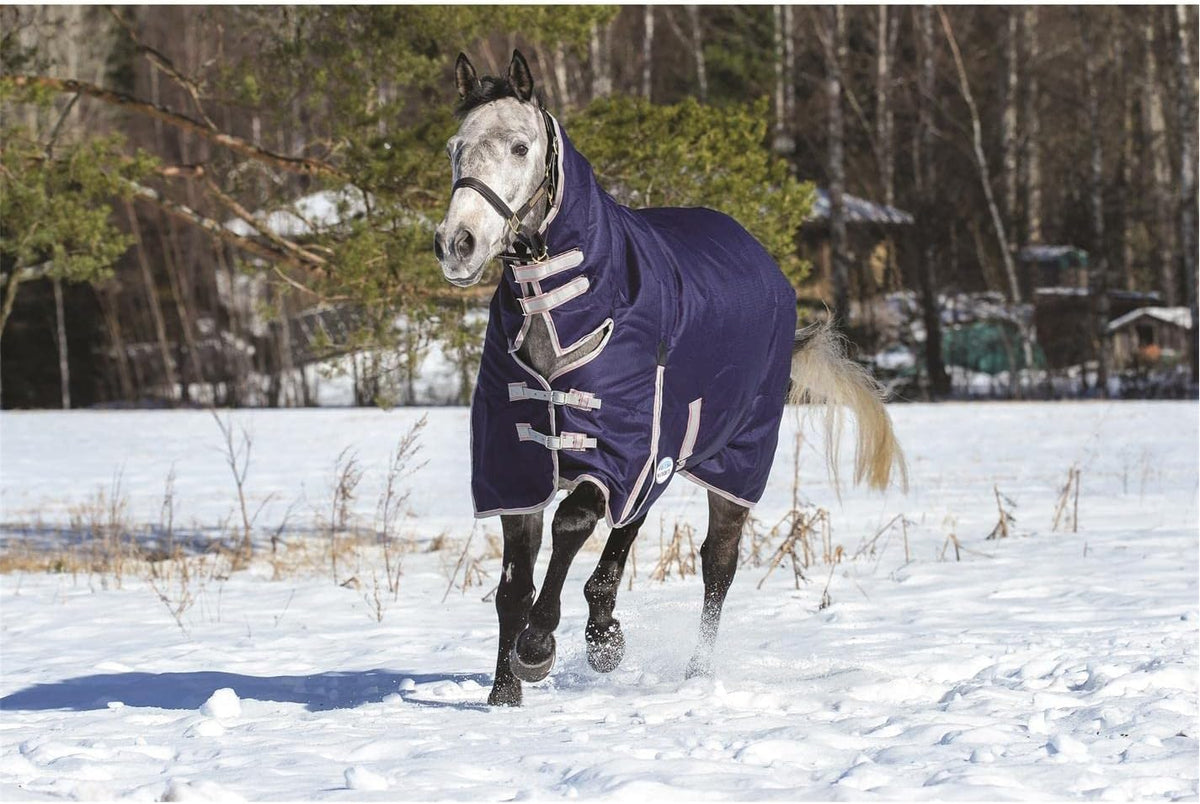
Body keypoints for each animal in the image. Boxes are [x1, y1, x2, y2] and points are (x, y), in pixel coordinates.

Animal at [434, 50, 905, 706]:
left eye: (520, 147)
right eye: (456, 148)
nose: (458, 244)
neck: (563, 309)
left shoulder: (620, 447)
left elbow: (572, 523)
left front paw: (538, 648)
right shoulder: (519, 462)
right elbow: (513, 581)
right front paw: (505, 693)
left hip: (731, 461)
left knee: (717, 564)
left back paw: (693, 673)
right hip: (664, 451)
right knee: (629, 531)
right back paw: (604, 631)